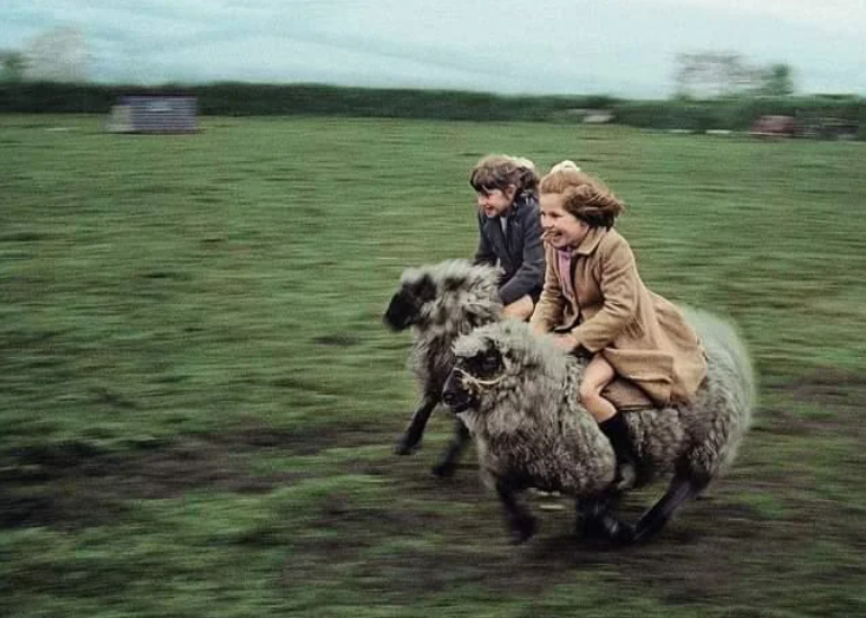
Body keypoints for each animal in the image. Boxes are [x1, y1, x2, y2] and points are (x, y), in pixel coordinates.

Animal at [384, 258, 500, 474]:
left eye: (414, 294)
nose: (387, 318)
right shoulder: (440, 374)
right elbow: (424, 406)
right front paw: (407, 443)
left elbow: (462, 427)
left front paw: (443, 466)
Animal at [442, 312, 752, 544]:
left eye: (488, 360)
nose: (447, 395)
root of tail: (722, 343)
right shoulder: (510, 464)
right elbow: (504, 492)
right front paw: (523, 527)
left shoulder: (596, 469)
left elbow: (595, 506)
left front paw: (612, 529)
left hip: (707, 444)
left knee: (686, 485)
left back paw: (647, 524)